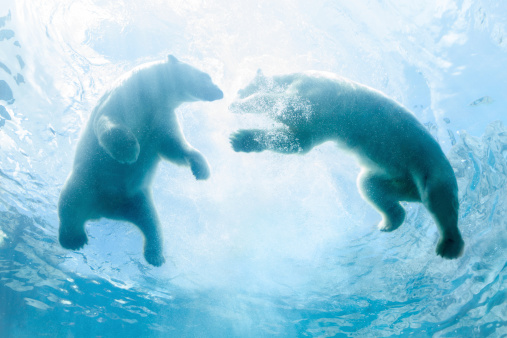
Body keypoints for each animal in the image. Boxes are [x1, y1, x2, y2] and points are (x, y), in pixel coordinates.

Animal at [57, 56, 222, 266]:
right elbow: (110, 121)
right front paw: (128, 152)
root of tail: (103, 211)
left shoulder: (161, 116)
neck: (152, 94)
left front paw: (201, 169)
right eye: (206, 76)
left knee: (151, 223)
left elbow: (172, 146)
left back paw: (155, 256)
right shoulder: (126, 97)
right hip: (88, 181)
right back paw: (74, 239)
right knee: (71, 199)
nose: (220, 92)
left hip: (137, 198)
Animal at [230, 69, 464, 258]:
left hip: (430, 167)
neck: (294, 76)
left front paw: (239, 106)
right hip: (396, 178)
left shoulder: (314, 93)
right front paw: (239, 139)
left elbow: (287, 107)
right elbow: (298, 141)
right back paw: (388, 223)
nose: (237, 92)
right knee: (370, 187)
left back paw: (449, 246)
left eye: (243, 85)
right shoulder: (317, 125)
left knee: (438, 200)